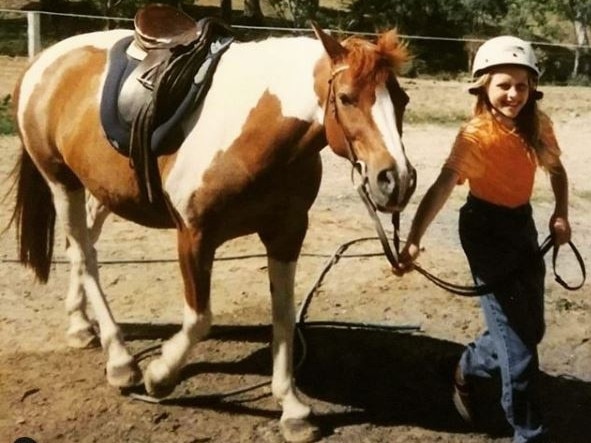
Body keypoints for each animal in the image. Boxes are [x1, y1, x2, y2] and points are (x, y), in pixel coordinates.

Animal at [8, 11, 416, 443]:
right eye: (347, 98)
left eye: (402, 100)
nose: (397, 180)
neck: (255, 131)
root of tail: (44, 60)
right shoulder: (194, 236)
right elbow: (199, 318)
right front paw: (159, 376)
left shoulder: (287, 233)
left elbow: (284, 316)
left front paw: (291, 408)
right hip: (61, 181)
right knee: (85, 255)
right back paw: (120, 360)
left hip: (102, 189)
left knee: (80, 245)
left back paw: (79, 325)